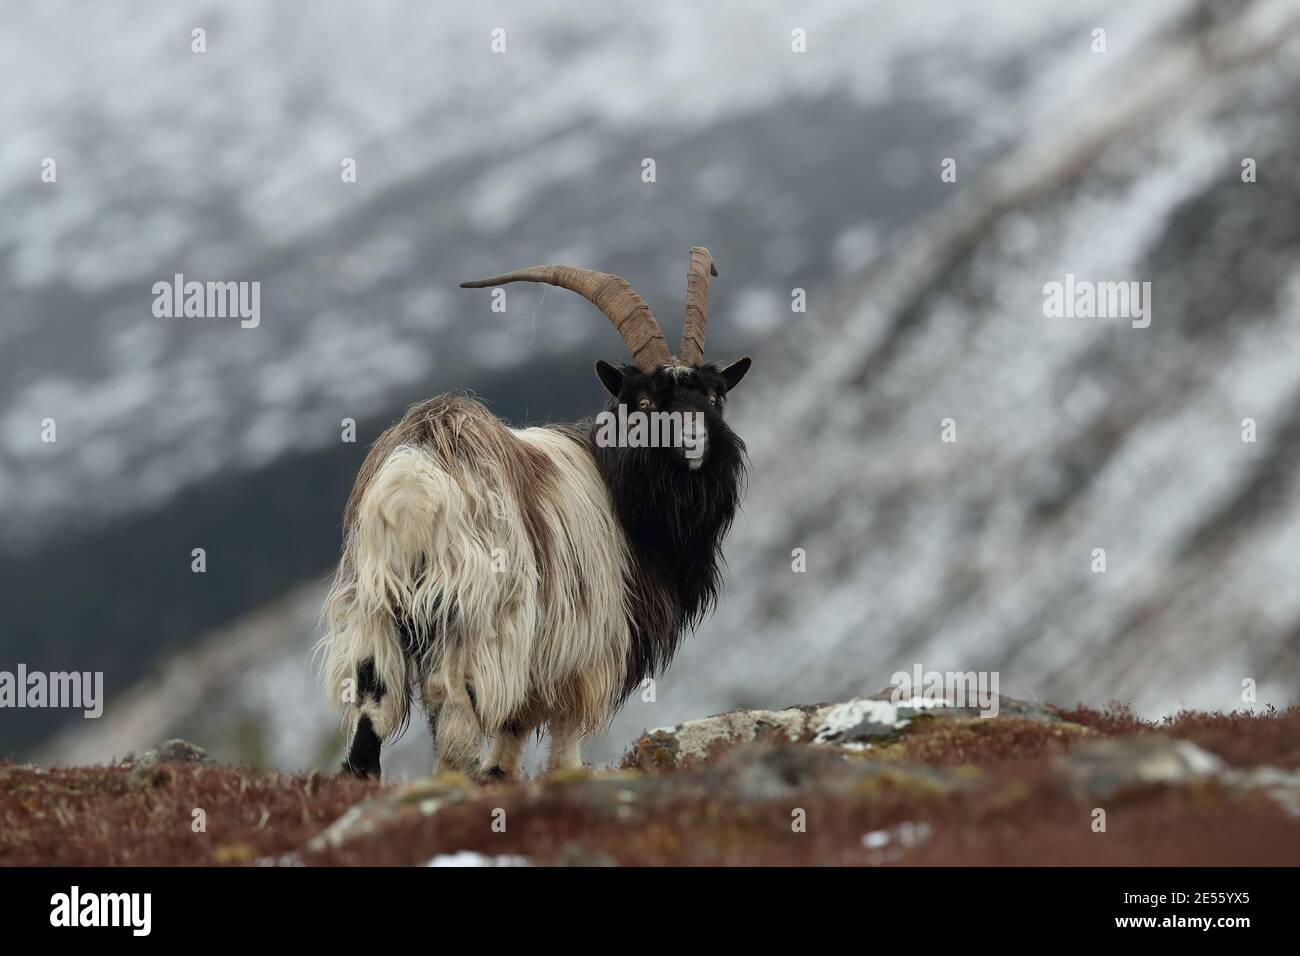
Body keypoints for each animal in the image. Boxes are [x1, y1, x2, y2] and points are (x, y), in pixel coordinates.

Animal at [318, 247, 751, 780]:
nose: (694, 440)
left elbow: (514, 728)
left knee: (371, 708)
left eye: (713, 396)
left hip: (376, 606)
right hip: (472, 617)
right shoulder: (582, 645)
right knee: (454, 715)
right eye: (645, 402)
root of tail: (416, 476)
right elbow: (561, 733)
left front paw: (499, 777)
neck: (615, 484)